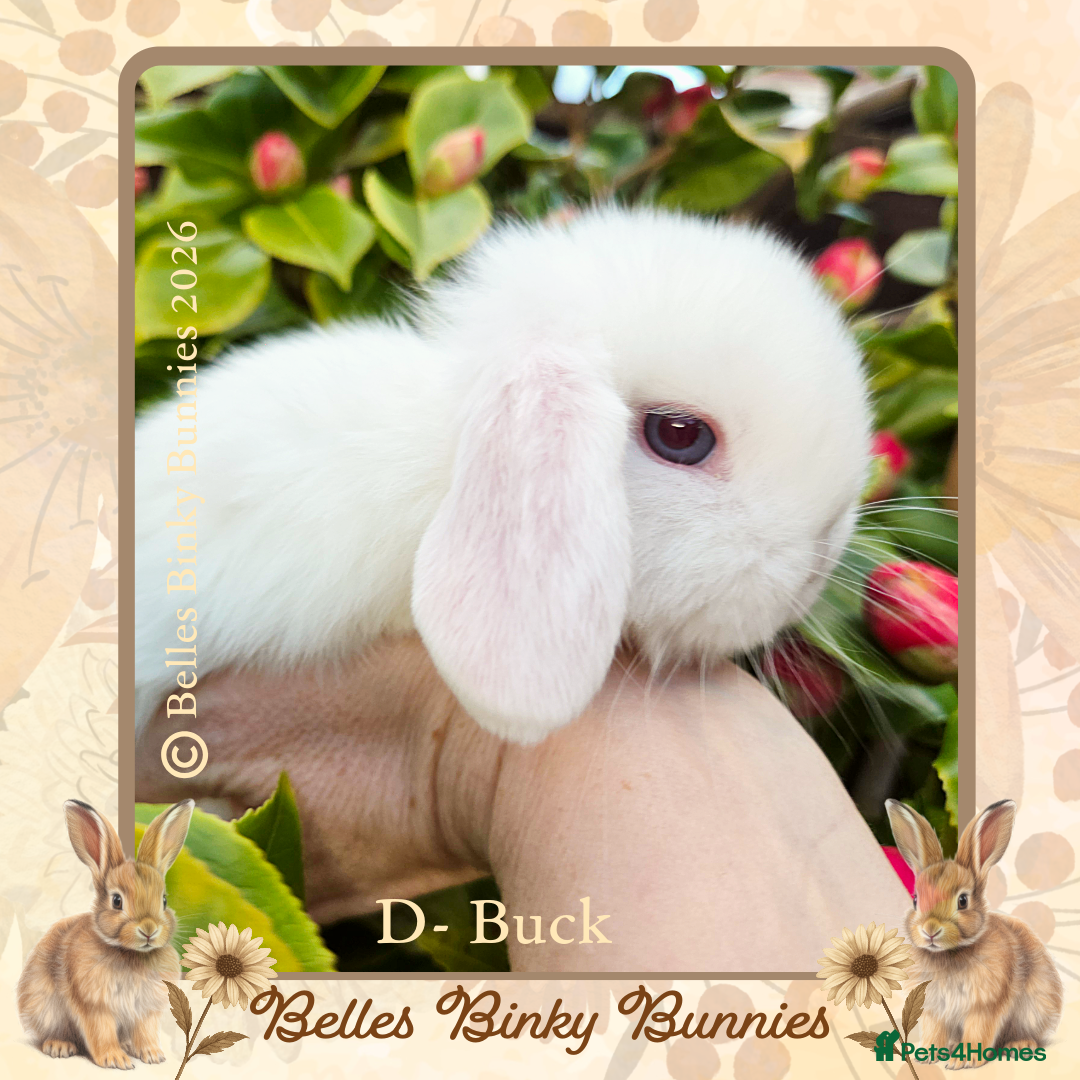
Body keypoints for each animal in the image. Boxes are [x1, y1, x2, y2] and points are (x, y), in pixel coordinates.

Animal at [17, 799, 194, 1068]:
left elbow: (146, 1031)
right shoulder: (95, 1005)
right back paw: (60, 1046)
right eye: (117, 901)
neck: (130, 953)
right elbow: (101, 1031)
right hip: (45, 1008)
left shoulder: (146, 1009)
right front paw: (115, 1060)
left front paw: (153, 1055)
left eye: (164, 900)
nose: (149, 930)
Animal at [885, 798, 1063, 1066]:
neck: (950, 953)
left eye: (962, 901)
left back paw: (1019, 1045)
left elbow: (978, 1031)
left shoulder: (984, 1005)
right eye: (916, 900)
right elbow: (934, 1031)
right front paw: (926, 1056)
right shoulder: (935, 1009)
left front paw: (963, 1061)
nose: (930, 930)